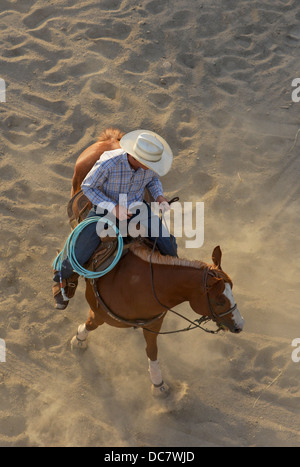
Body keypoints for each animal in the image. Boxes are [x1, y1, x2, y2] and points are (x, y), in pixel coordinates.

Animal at [71, 243, 245, 396]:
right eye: (219, 301)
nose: (240, 325)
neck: (138, 284)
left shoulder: (154, 323)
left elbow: (152, 350)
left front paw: (158, 384)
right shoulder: (100, 313)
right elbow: (91, 324)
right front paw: (79, 340)